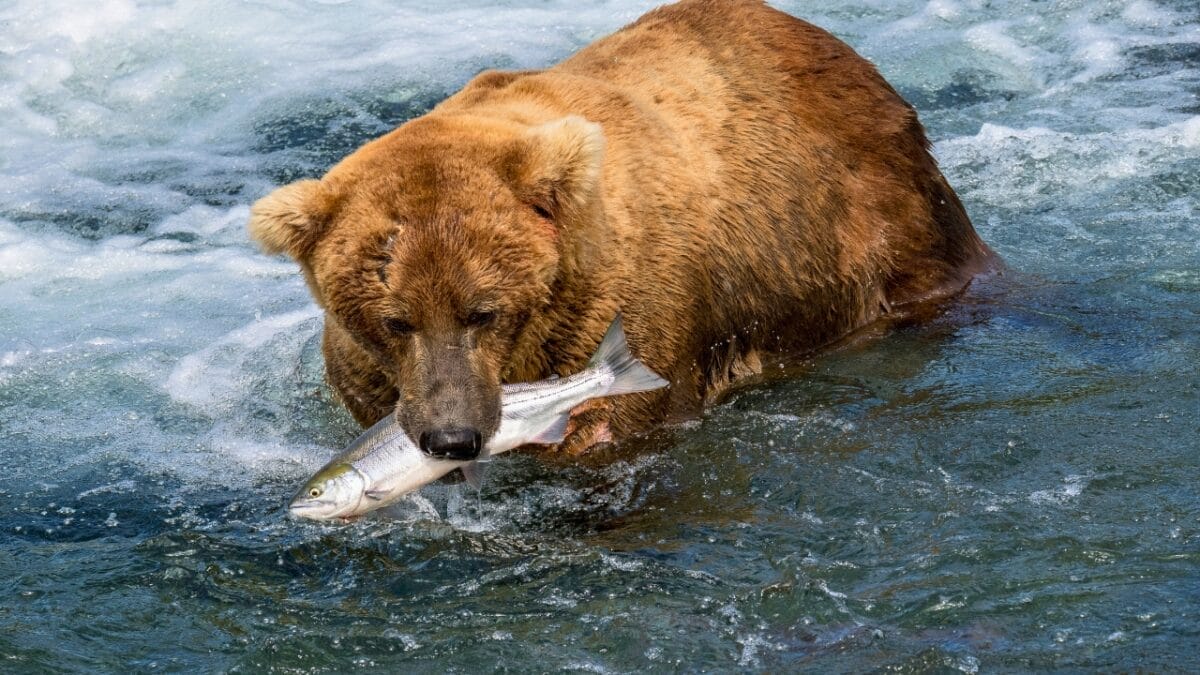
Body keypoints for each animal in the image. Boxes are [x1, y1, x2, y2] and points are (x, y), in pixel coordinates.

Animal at [248, 0, 993, 459]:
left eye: (484, 311)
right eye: (395, 319)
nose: (451, 437)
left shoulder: (619, 307)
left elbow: (613, 421)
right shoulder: (372, 377)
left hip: (870, 230)